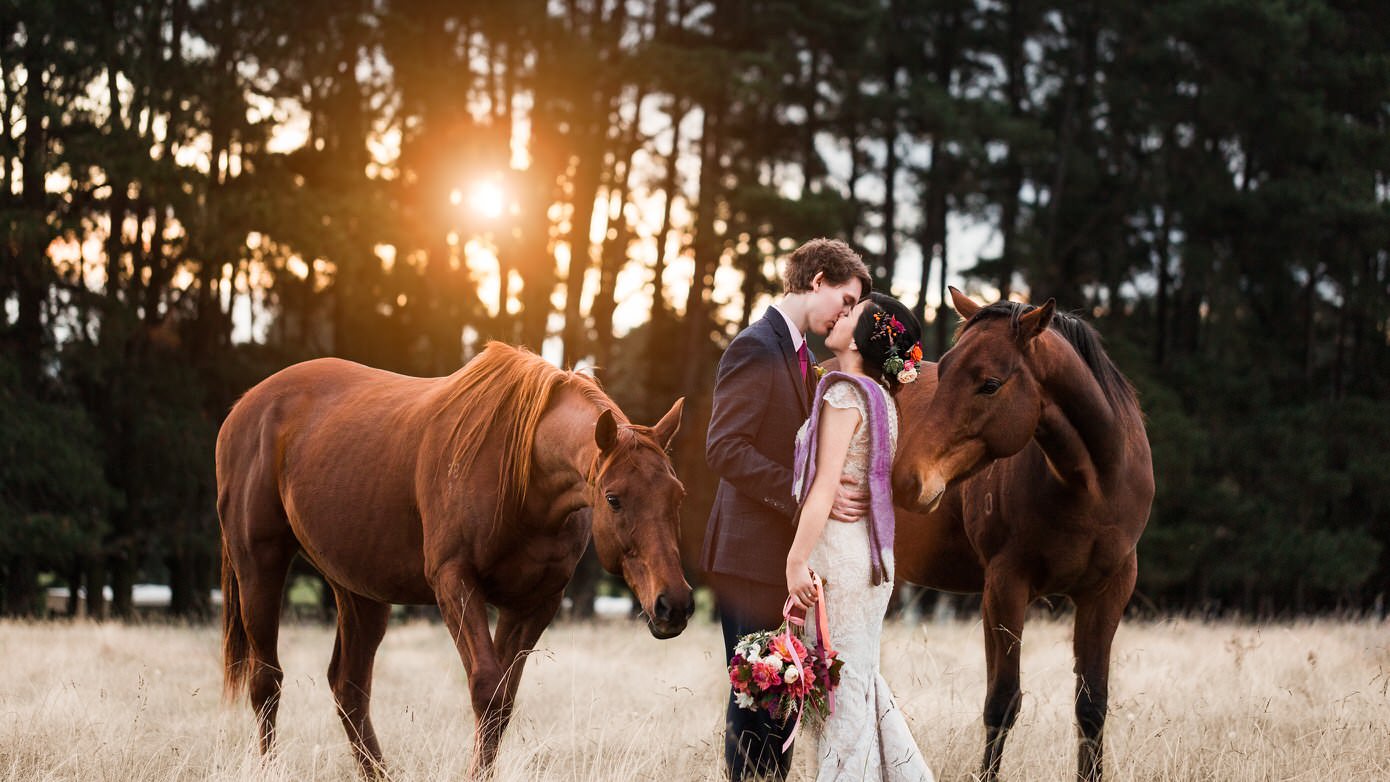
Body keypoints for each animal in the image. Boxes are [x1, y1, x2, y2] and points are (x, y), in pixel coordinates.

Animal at [216, 343, 689, 777]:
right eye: (613, 499)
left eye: (677, 495)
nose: (675, 604)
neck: (523, 475)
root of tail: (245, 407)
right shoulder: (455, 582)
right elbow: (487, 690)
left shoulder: (535, 602)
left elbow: (503, 700)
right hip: (259, 567)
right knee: (266, 681)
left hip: (358, 590)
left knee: (349, 686)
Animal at [889, 288, 1150, 782]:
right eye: (944, 369)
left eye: (990, 384)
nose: (906, 481)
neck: (1090, 486)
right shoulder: (1005, 586)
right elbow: (1002, 702)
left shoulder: (1108, 591)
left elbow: (1091, 706)